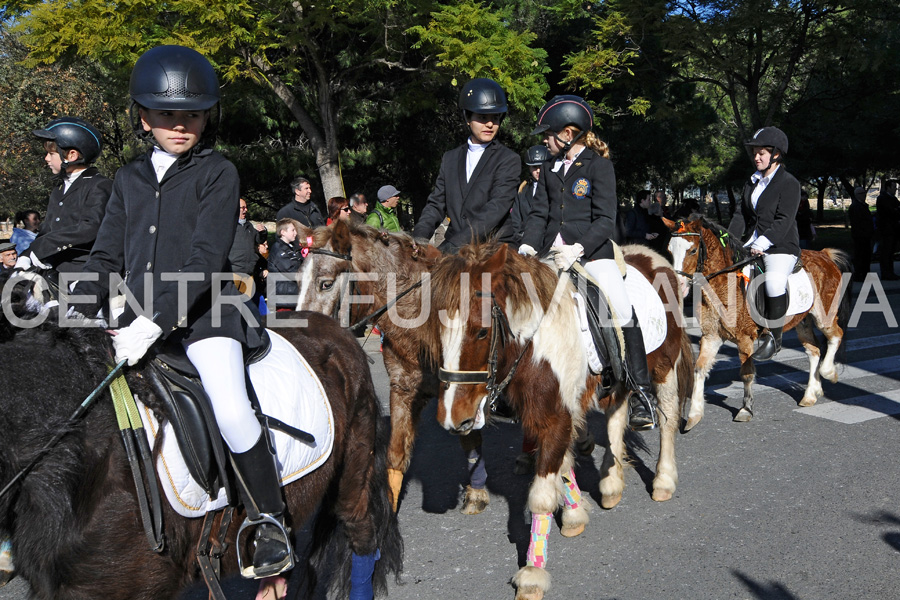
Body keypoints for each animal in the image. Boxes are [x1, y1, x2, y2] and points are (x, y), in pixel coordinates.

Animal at [296, 223, 492, 512]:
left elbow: (470, 437)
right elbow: (396, 454)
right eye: (297, 282)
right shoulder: (403, 387)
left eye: (326, 283)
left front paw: (477, 492)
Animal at [426, 241, 692, 596]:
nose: (453, 419)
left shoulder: (556, 418)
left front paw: (532, 573)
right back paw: (611, 482)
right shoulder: (548, 415)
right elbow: (563, 466)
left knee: (667, 419)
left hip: (663, 366)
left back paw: (663, 480)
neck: (537, 345)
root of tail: (653, 256)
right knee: (616, 416)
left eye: (481, 332)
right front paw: (576, 513)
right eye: (438, 329)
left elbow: (541, 495)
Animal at [668, 216, 852, 422]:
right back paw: (811, 394)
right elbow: (699, 368)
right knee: (814, 350)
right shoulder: (712, 336)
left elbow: (746, 373)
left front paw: (745, 409)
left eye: (692, 250)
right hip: (803, 321)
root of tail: (824, 254)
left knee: (836, 335)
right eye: (670, 249)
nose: (679, 286)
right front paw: (694, 414)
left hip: (824, 317)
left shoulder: (744, 338)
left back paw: (829, 372)